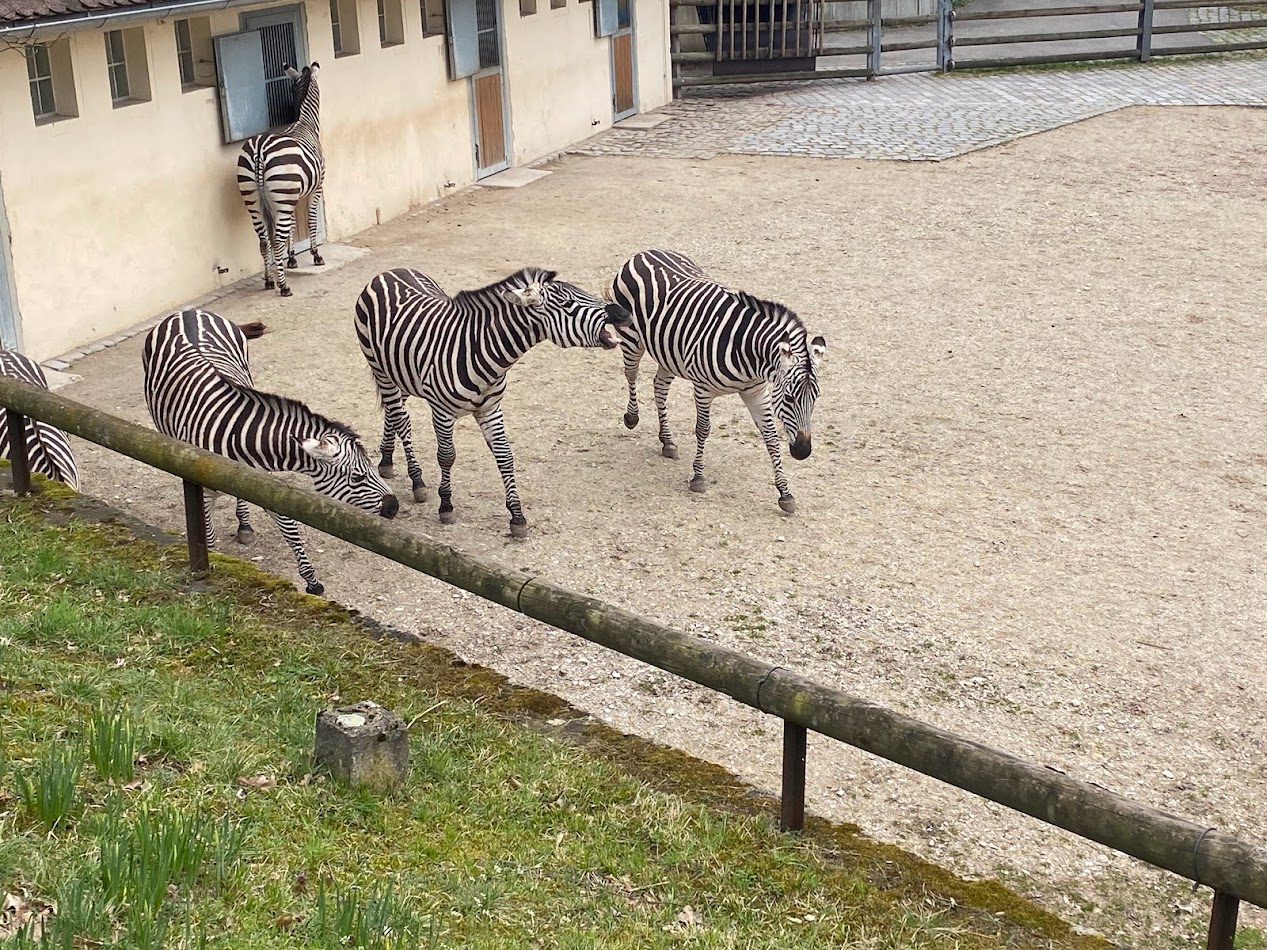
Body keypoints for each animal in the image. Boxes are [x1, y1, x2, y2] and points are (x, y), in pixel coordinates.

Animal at [142, 309, 397, 595]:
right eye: (357, 477)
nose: (394, 507)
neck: (239, 436)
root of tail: (187, 311)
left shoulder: (264, 483)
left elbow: (288, 526)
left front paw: (312, 581)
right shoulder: (203, 489)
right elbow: (207, 536)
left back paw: (244, 525)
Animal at [236, 62, 324, 299]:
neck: (305, 123)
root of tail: (259, 151)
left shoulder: (291, 195)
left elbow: (293, 224)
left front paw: (292, 258)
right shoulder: (317, 186)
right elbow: (311, 220)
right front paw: (315, 255)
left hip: (252, 197)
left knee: (264, 240)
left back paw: (268, 280)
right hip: (280, 195)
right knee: (276, 240)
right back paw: (284, 286)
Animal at [354, 266, 631, 538]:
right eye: (567, 303)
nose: (624, 313)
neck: (480, 350)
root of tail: (388, 272)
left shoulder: (490, 408)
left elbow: (504, 455)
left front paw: (517, 516)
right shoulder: (442, 412)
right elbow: (446, 456)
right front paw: (446, 506)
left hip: (400, 373)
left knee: (393, 411)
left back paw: (387, 460)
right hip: (380, 368)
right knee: (402, 420)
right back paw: (417, 481)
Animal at [610, 249, 826, 514]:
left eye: (815, 398)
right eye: (788, 397)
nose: (803, 452)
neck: (749, 353)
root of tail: (646, 252)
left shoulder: (756, 392)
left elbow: (771, 436)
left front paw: (785, 493)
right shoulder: (703, 390)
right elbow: (703, 429)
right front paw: (698, 478)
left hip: (669, 353)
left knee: (659, 387)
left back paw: (667, 441)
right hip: (632, 338)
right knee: (631, 374)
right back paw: (632, 417)